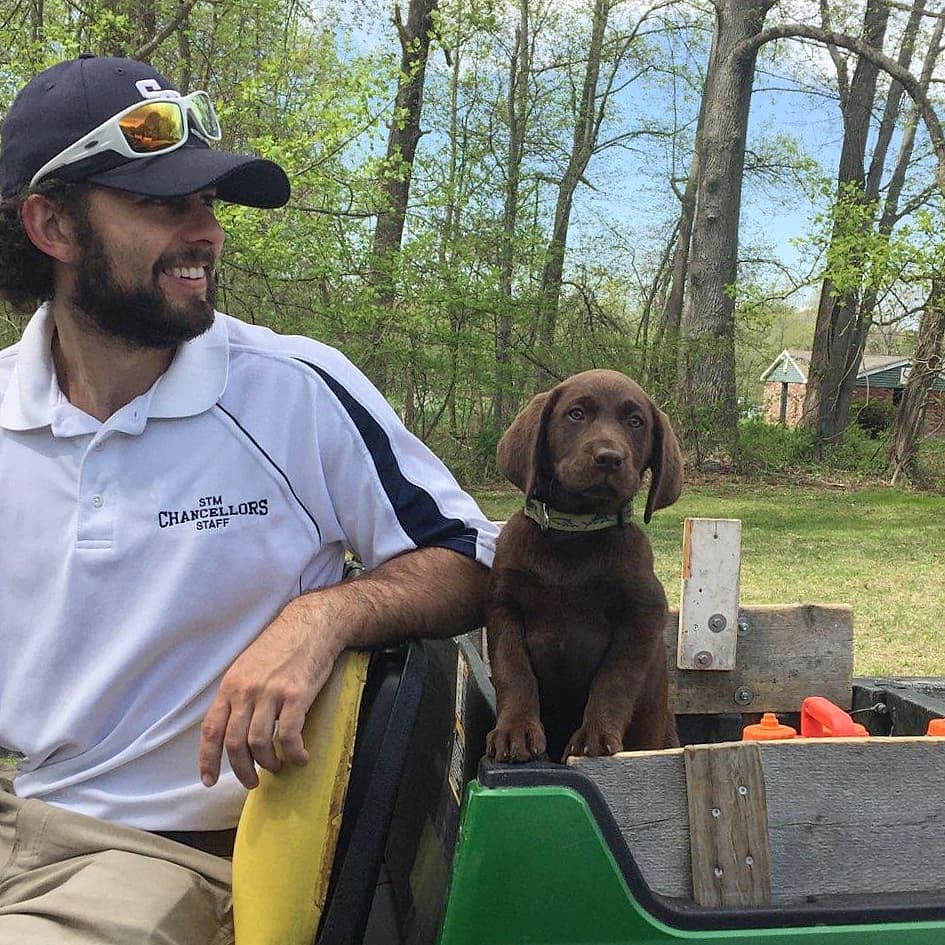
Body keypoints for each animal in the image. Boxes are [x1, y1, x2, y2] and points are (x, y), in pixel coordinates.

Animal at [484, 368, 684, 760]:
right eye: (576, 414)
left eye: (635, 422)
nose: (609, 458)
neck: (574, 533)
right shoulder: (503, 607)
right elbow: (513, 672)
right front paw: (515, 732)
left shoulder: (642, 614)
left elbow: (615, 680)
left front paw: (594, 735)